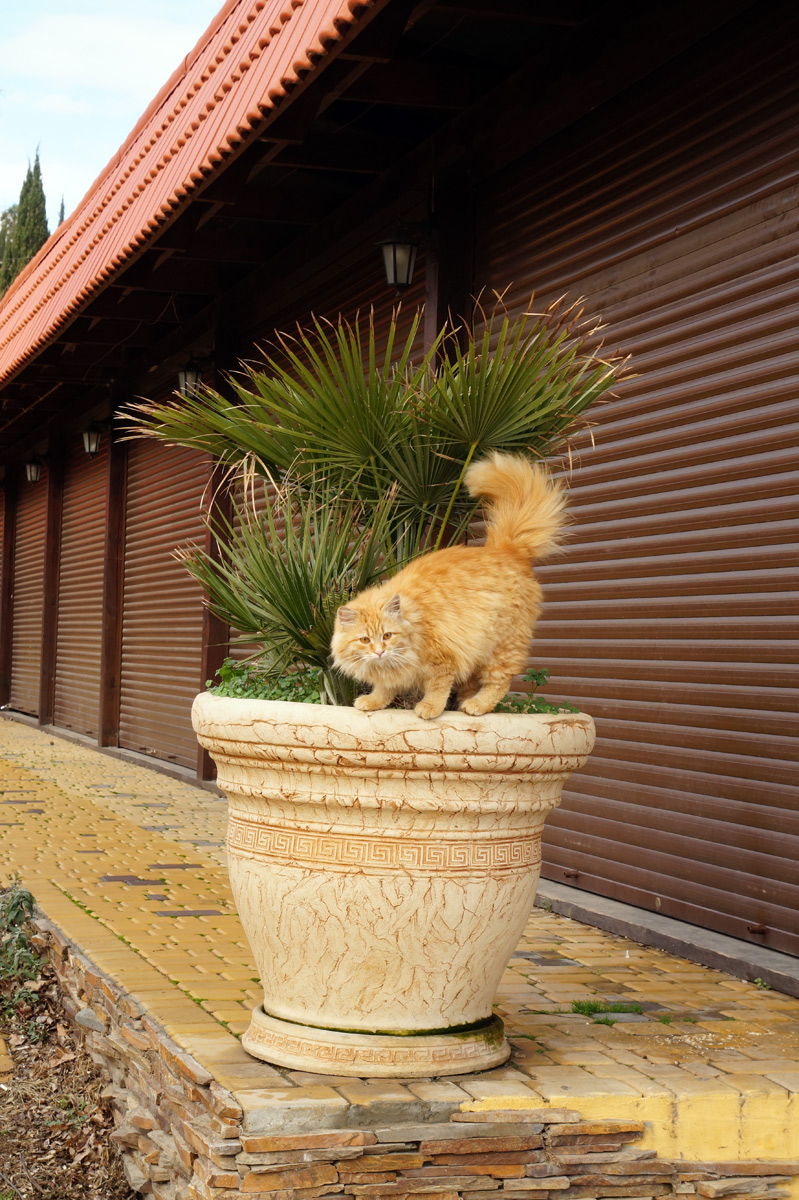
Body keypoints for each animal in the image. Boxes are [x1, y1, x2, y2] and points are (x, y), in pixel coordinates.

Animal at [331, 451, 566, 715]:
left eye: (388, 635)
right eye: (364, 640)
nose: (380, 651)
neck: (414, 619)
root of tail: (505, 549)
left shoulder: (442, 660)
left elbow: (438, 687)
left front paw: (429, 708)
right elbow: (385, 688)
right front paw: (373, 701)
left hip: (502, 646)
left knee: (498, 682)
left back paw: (476, 705)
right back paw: (464, 703)